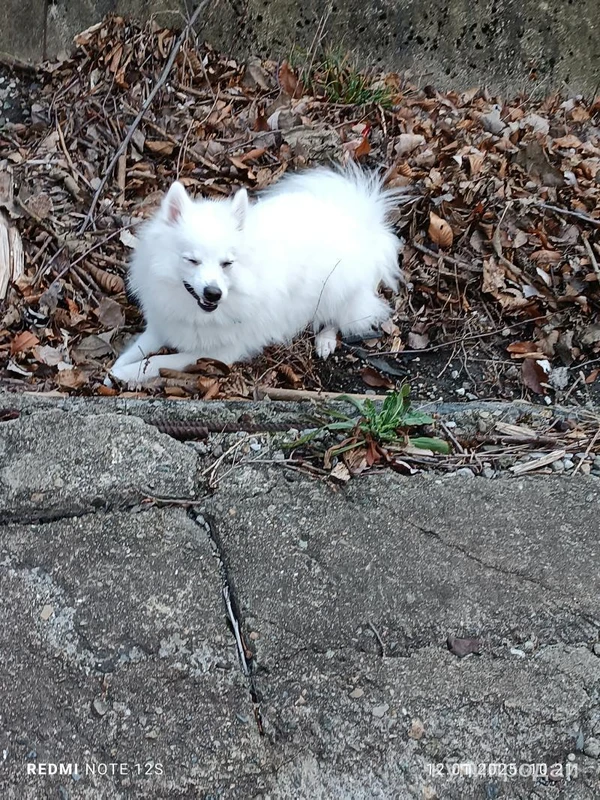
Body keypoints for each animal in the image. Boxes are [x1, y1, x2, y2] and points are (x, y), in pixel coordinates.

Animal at [110, 166, 406, 384]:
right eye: (192, 260)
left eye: (227, 263)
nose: (213, 293)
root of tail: (357, 222)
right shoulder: (162, 325)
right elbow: (136, 350)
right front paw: (117, 367)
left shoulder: (215, 352)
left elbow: (158, 361)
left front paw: (124, 374)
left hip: (334, 288)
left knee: (340, 316)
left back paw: (325, 339)